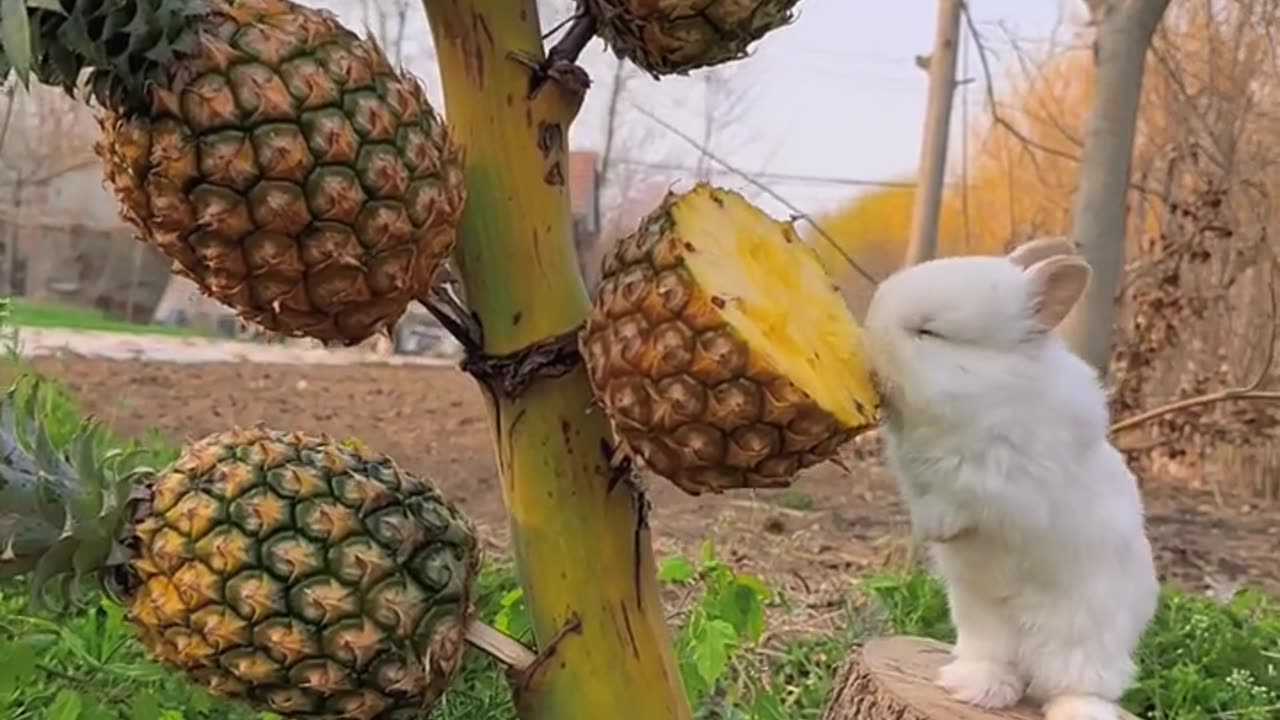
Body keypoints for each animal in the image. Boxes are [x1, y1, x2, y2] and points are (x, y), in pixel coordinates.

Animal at [860, 237, 1162, 717]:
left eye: (929, 332)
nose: (866, 340)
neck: (992, 387)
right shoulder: (917, 471)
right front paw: (931, 532)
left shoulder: (1004, 483)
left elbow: (964, 499)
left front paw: (939, 531)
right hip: (981, 625)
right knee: (1001, 666)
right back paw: (975, 689)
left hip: (1083, 644)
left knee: (1077, 686)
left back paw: (1076, 708)